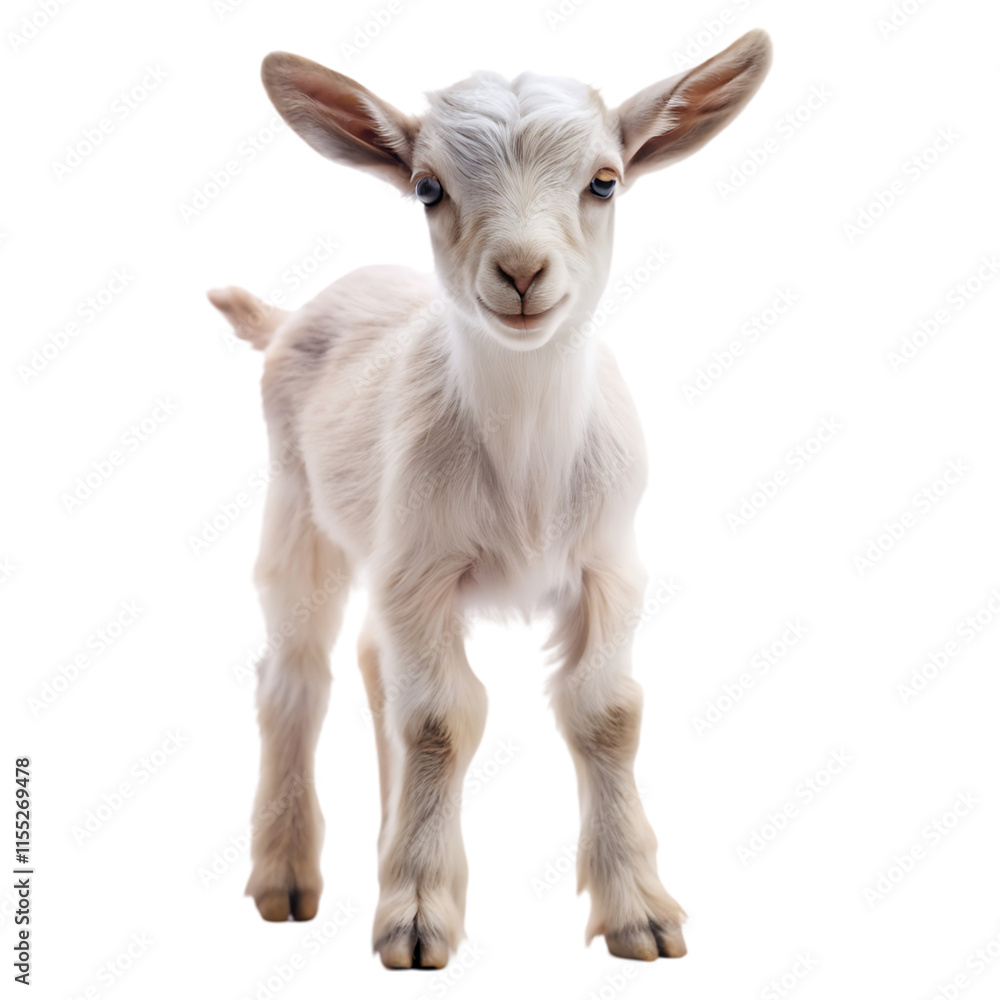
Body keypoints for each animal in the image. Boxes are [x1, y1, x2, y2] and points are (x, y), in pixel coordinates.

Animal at [209, 30, 772, 968]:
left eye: (604, 180)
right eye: (428, 187)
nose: (520, 272)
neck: (526, 466)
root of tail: (294, 314)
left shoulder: (609, 564)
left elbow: (605, 712)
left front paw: (641, 913)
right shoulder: (421, 568)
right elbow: (440, 719)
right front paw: (416, 918)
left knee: (373, 666)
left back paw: (384, 842)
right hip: (299, 508)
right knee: (297, 677)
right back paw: (286, 875)